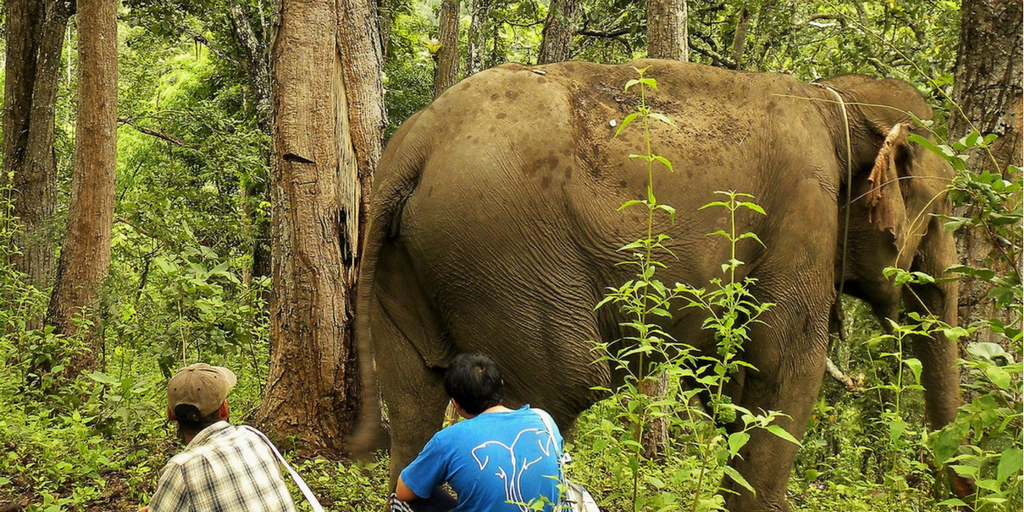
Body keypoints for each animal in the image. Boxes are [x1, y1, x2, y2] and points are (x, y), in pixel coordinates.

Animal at [352, 58, 958, 509]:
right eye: (941, 208)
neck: (838, 102)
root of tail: (416, 144)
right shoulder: (803, 212)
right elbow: (783, 371)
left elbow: (727, 382)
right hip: (503, 256)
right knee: (560, 388)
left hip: (409, 263)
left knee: (414, 406)